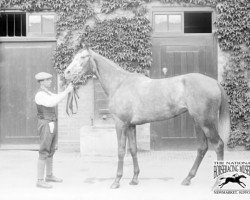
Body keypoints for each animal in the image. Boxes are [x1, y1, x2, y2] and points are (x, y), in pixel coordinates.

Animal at [64, 46, 230, 188]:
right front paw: (134, 179)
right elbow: (133, 149)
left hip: (206, 122)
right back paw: (187, 179)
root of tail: (215, 82)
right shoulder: (131, 125)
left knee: (218, 145)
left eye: (83, 57)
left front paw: (116, 181)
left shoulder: (120, 123)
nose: (67, 72)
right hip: (198, 122)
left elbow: (120, 150)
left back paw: (216, 182)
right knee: (202, 148)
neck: (119, 83)